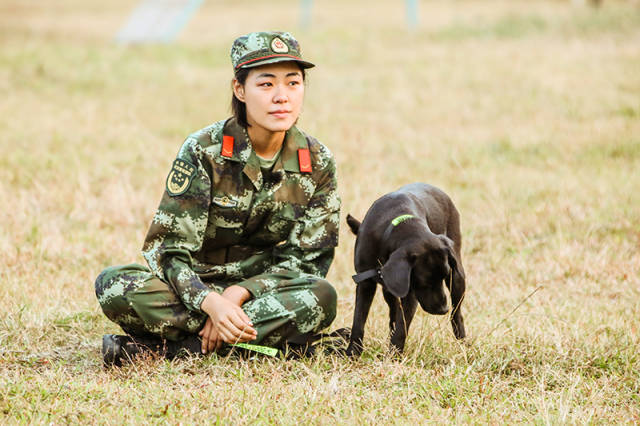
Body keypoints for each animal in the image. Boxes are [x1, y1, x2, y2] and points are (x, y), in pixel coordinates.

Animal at [348, 183, 468, 356]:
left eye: (441, 276)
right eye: (425, 282)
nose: (443, 309)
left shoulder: (411, 293)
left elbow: (401, 328)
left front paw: (393, 356)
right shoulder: (365, 283)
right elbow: (358, 321)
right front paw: (352, 353)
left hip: (457, 277)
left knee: (457, 314)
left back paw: (462, 343)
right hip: (389, 290)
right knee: (393, 312)